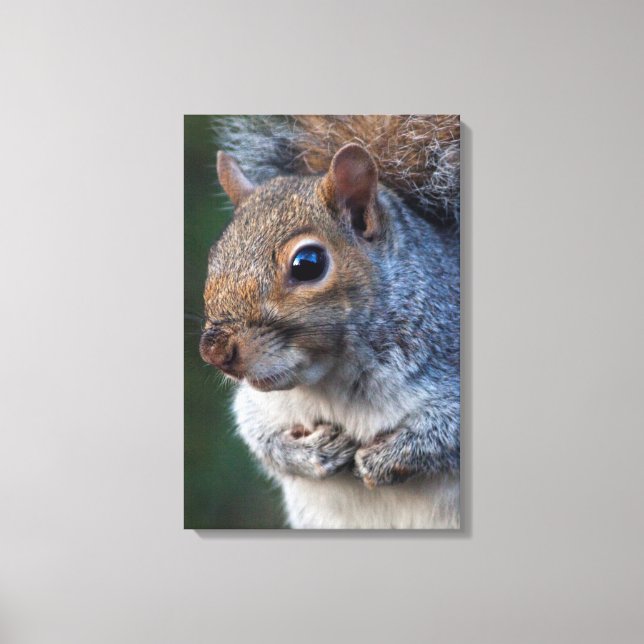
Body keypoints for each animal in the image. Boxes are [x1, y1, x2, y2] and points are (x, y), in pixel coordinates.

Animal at [199, 115, 460, 529]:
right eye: (215, 255)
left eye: (308, 263)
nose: (214, 351)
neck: (331, 382)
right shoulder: (258, 405)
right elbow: (257, 435)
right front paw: (316, 453)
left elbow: (447, 434)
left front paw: (380, 460)